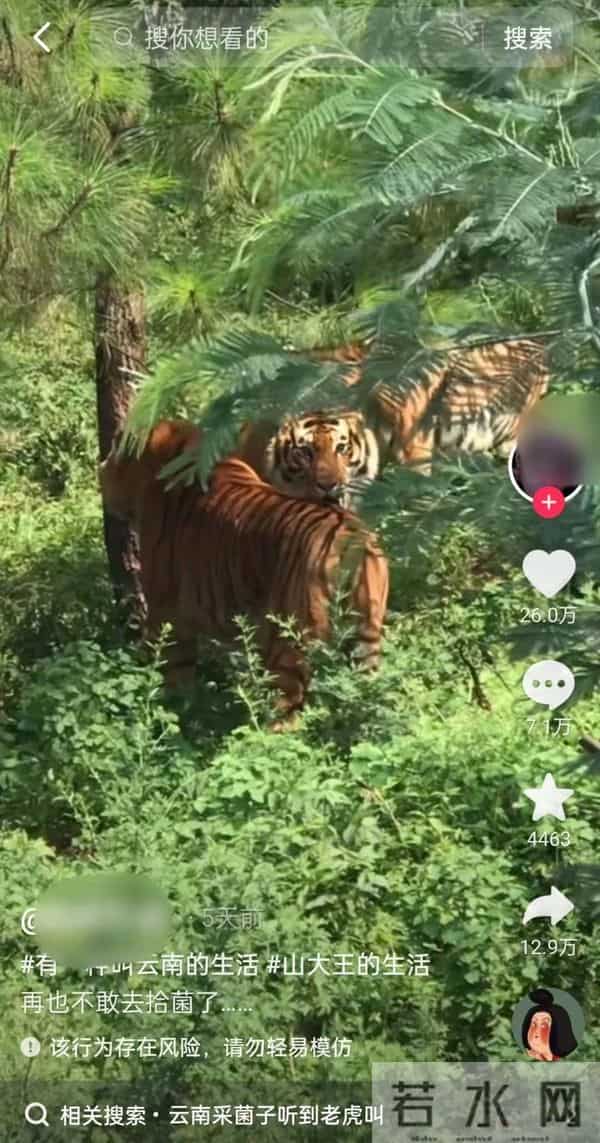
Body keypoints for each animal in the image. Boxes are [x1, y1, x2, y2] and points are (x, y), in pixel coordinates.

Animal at [100, 419, 389, 727]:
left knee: (286, 712)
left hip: (290, 642)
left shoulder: (166, 613)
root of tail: (352, 539)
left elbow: (173, 678)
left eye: (116, 447)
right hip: (366, 640)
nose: (102, 469)